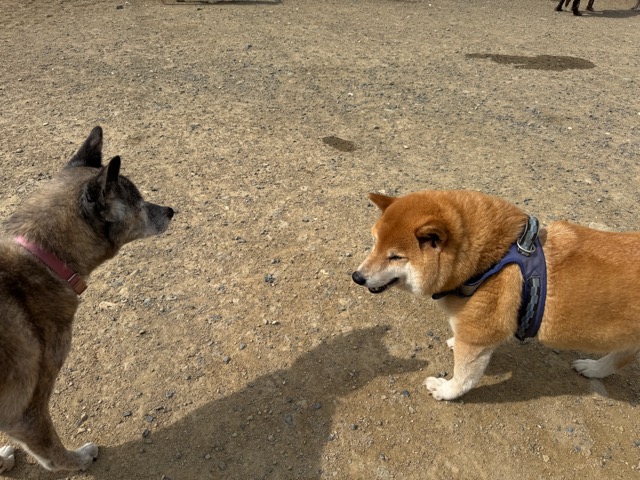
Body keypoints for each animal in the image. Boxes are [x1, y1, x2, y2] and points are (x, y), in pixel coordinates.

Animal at [0, 127, 174, 472]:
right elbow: (52, 452)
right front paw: (78, 459)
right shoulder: (26, 411)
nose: (171, 211)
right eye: (137, 203)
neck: (43, 259)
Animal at [352, 190, 640, 401]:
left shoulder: (478, 337)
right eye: (374, 243)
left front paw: (445, 391)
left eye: (395, 257)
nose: (357, 277)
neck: (489, 262)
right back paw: (593, 368)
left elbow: (464, 377)